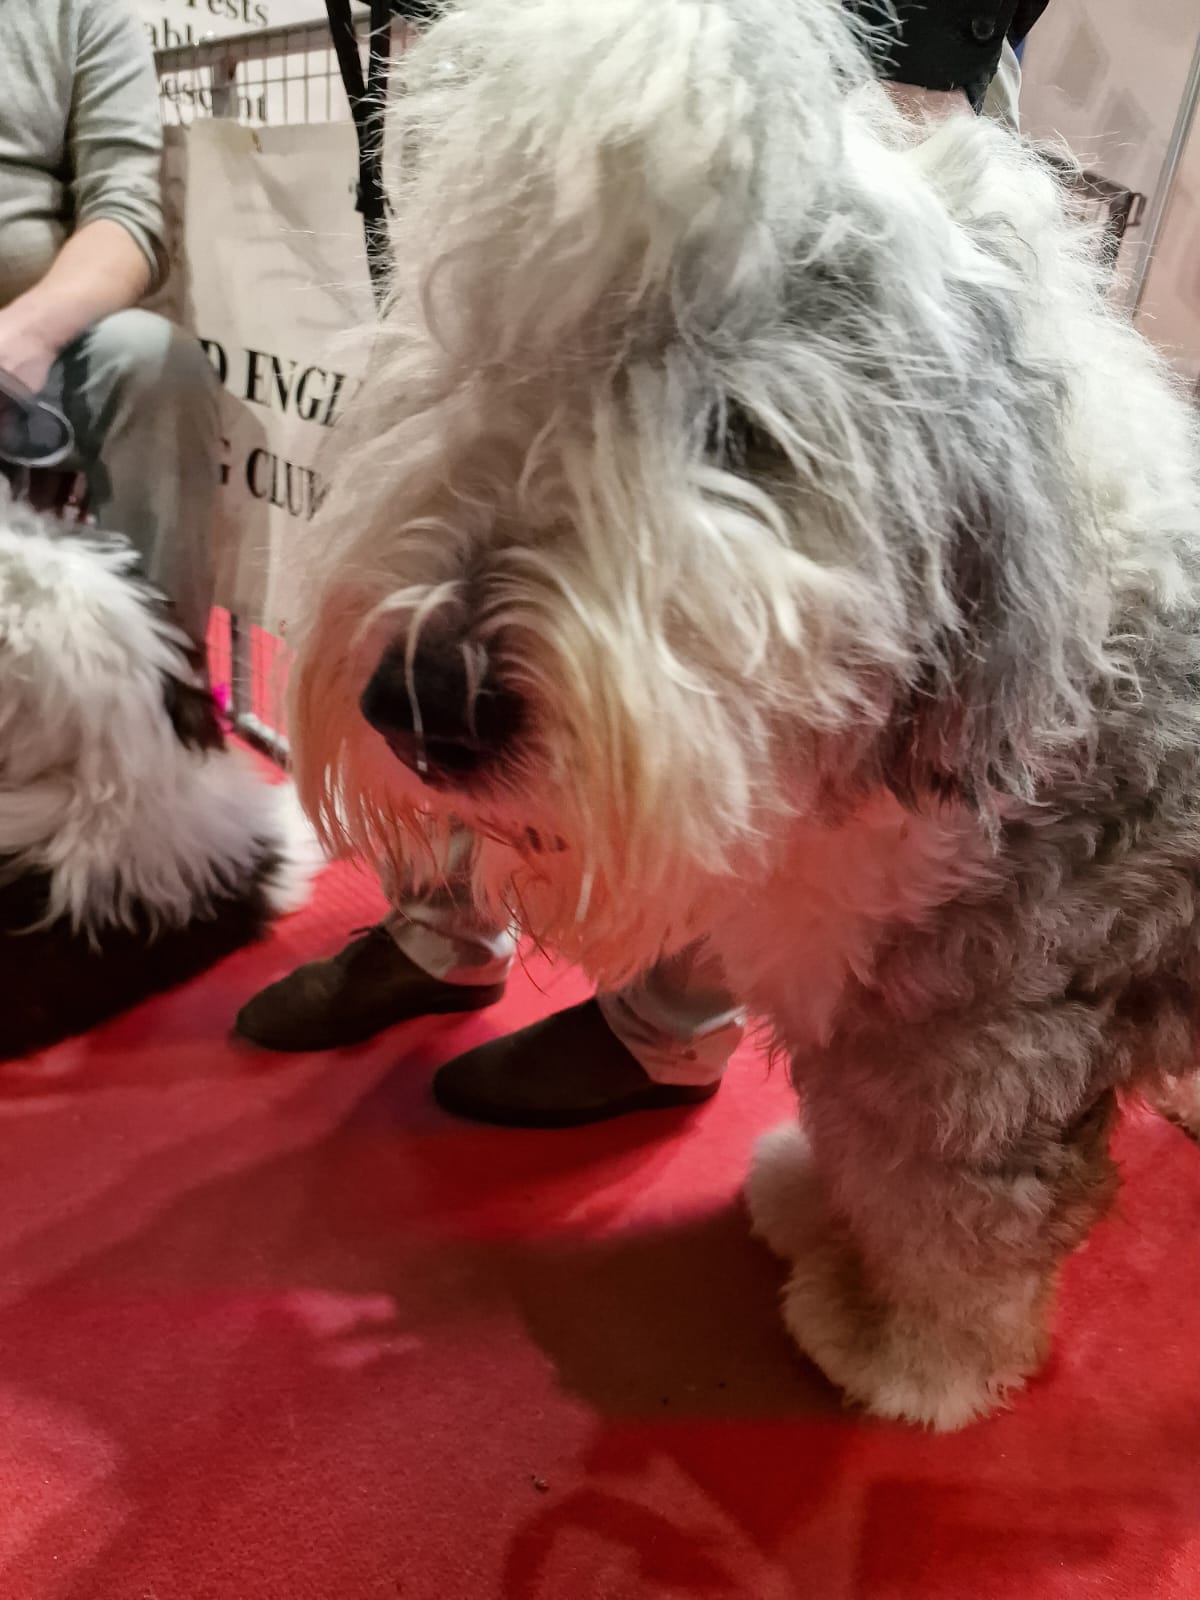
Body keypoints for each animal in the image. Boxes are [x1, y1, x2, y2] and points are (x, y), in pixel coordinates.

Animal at [286, 0, 1200, 1427]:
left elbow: (951, 1214)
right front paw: (812, 1212)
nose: (424, 700)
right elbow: (861, 1155)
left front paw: (911, 1359)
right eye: (490, 357)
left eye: (740, 434)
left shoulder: (983, 1034)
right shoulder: (880, 1011)